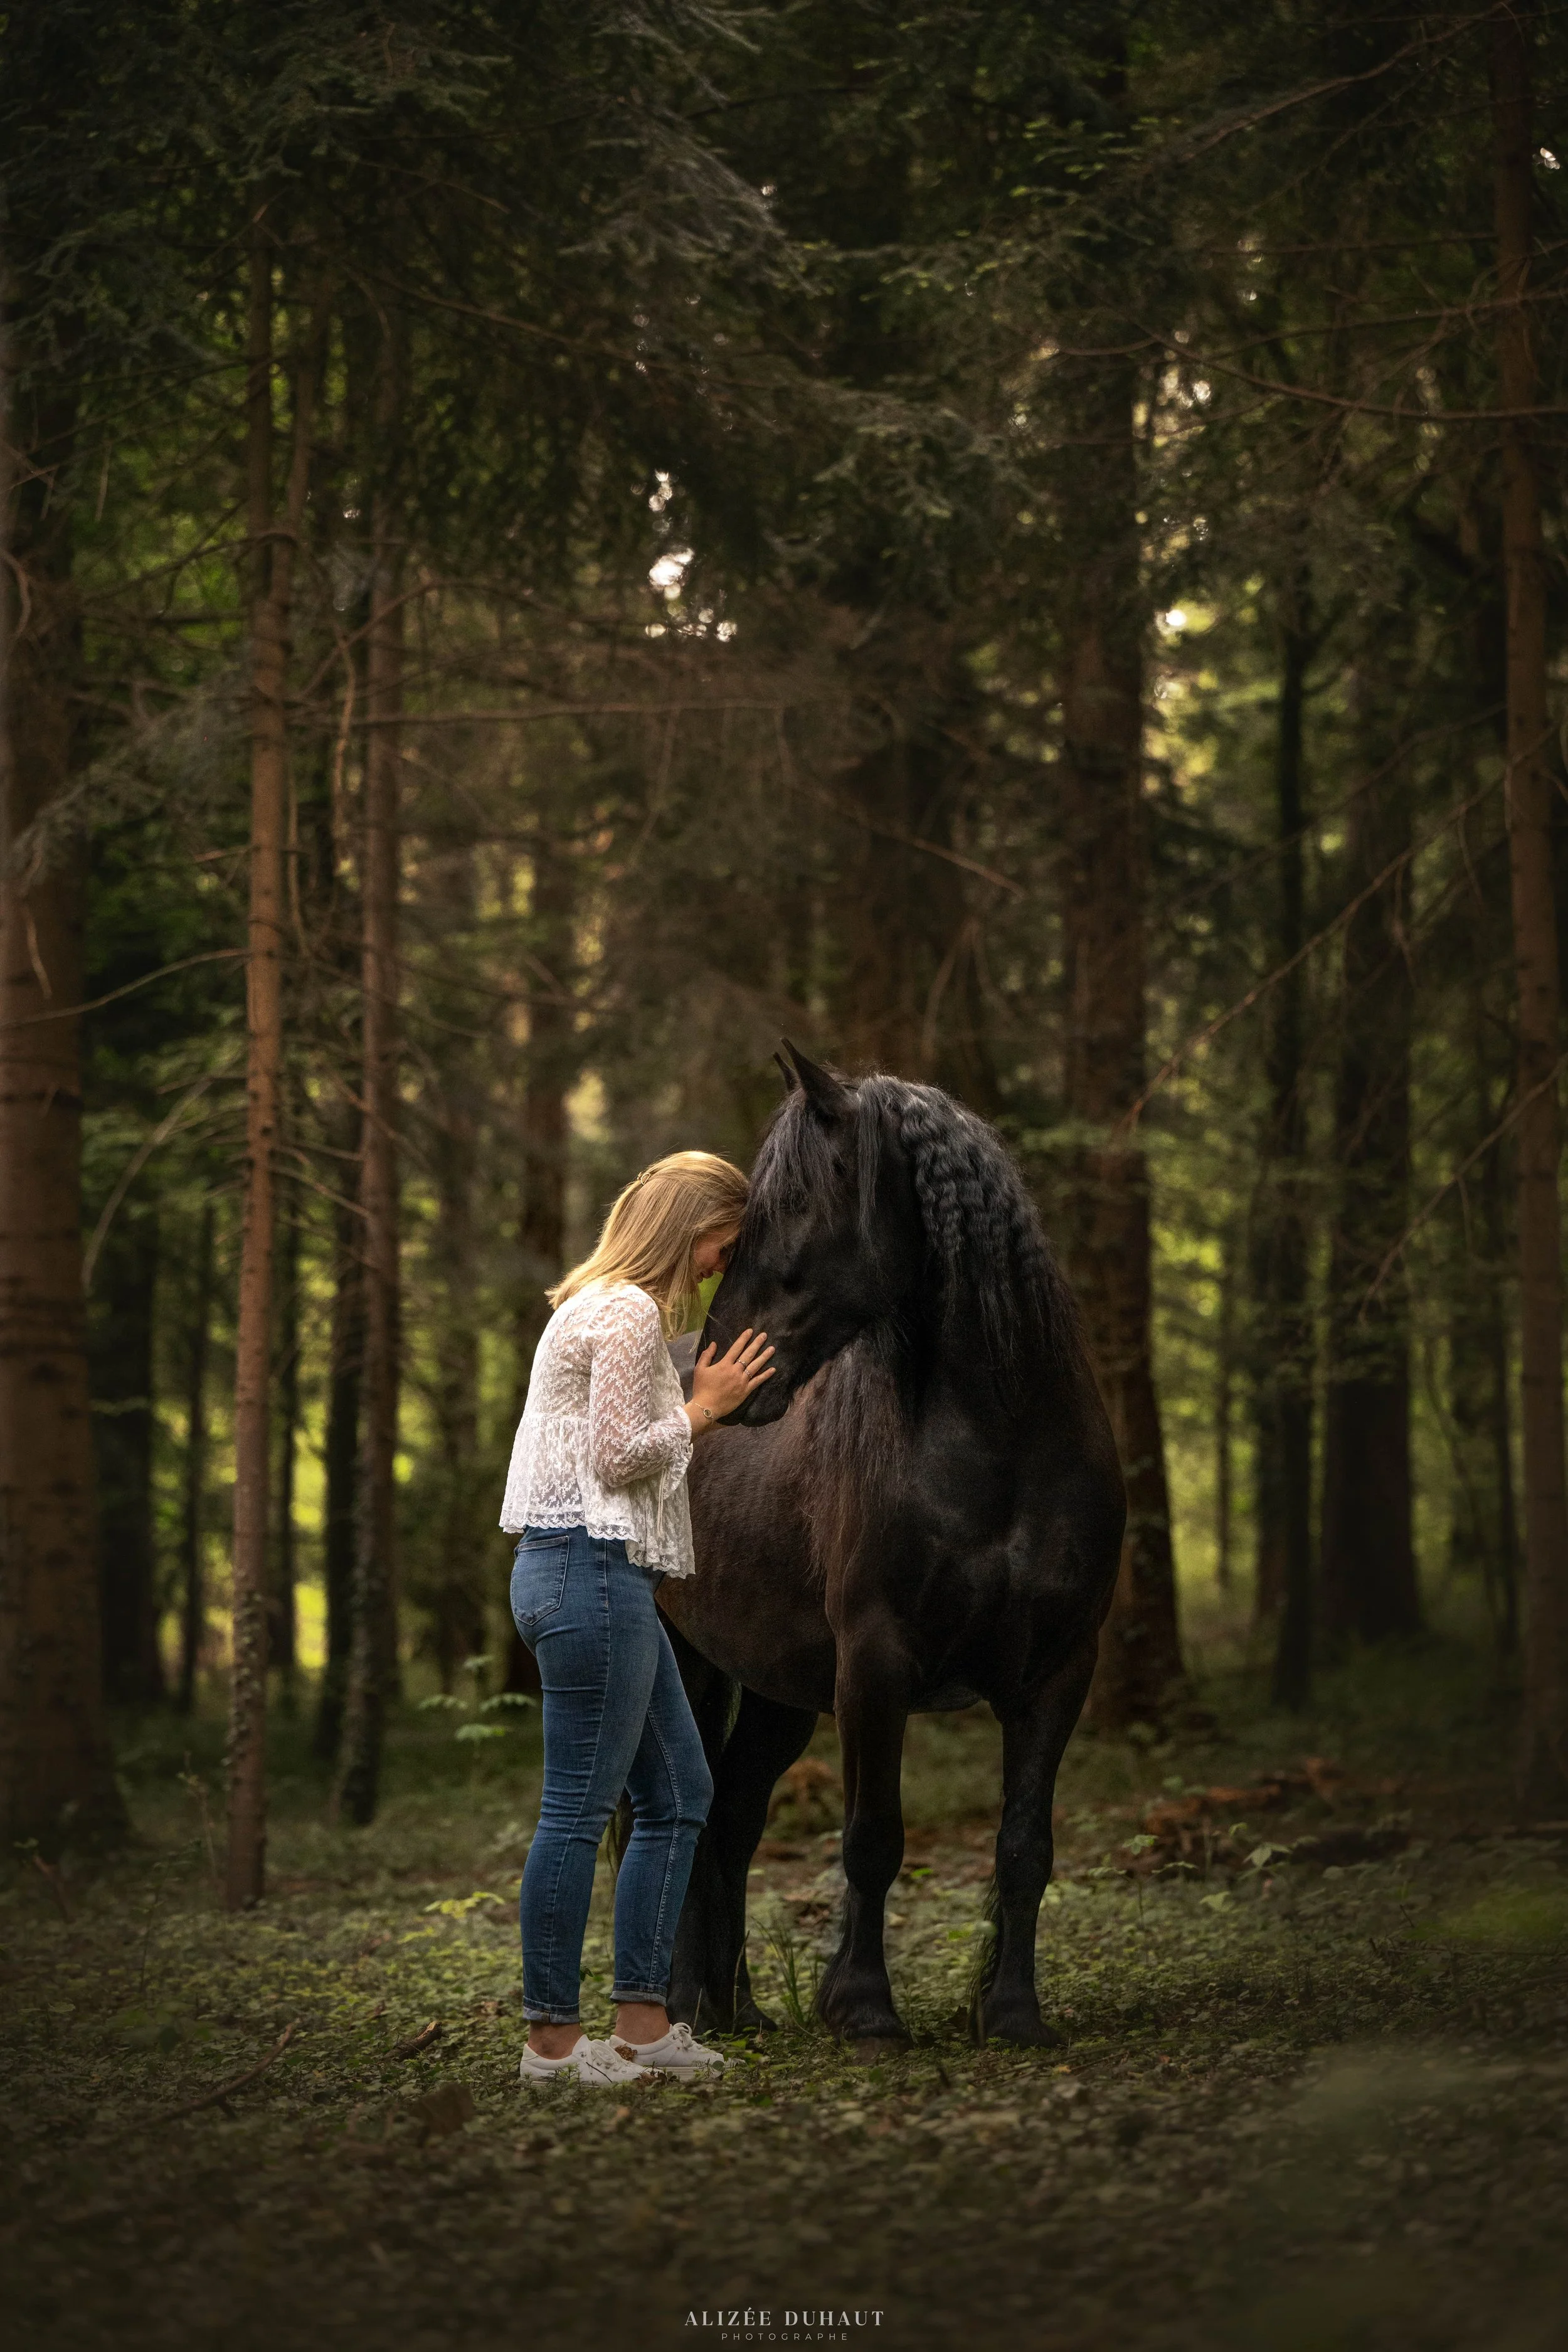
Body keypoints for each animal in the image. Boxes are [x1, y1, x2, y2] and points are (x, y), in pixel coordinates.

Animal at [657, 1043, 1126, 2049]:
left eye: (796, 1200)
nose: (720, 1365)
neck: (1000, 1447)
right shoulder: (875, 1664)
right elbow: (873, 1838)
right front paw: (865, 2005)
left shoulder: (1059, 1671)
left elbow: (1024, 1847)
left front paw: (1013, 2010)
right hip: (687, 1666)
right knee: (675, 1817)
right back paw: (681, 2008)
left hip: (776, 1690)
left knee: (731, 1820)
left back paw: (738, 2004)